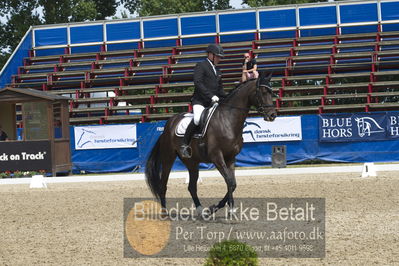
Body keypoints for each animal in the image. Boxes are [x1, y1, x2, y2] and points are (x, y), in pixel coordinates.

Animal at [145, 72, 276, 216]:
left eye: (271, 92)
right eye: (263, 92)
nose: (272, 115)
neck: (228, 121)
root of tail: (168, 125)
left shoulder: (230, 158)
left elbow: (232, 183)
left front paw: (218, 208)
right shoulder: (216, 157)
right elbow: (230, 182)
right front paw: (227, 209)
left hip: (192, 162)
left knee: (192, 186)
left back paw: (201, 211)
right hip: (168, 158)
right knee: (163, 185)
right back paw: (165, 213)